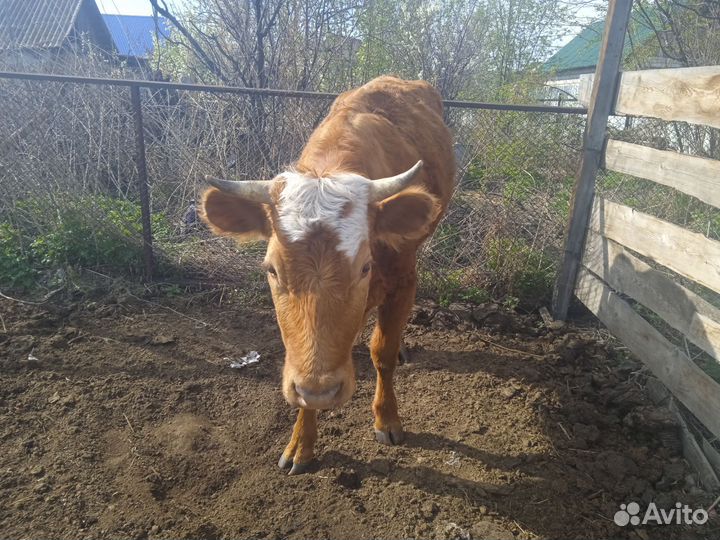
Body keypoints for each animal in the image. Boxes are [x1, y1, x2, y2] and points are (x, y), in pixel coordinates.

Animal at [200, 76, 455, 474]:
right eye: (272, 269)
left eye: (364, 266)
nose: (320, 390)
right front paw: (300, 444)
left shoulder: (403, 280)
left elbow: (382, 350)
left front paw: (387, 419)